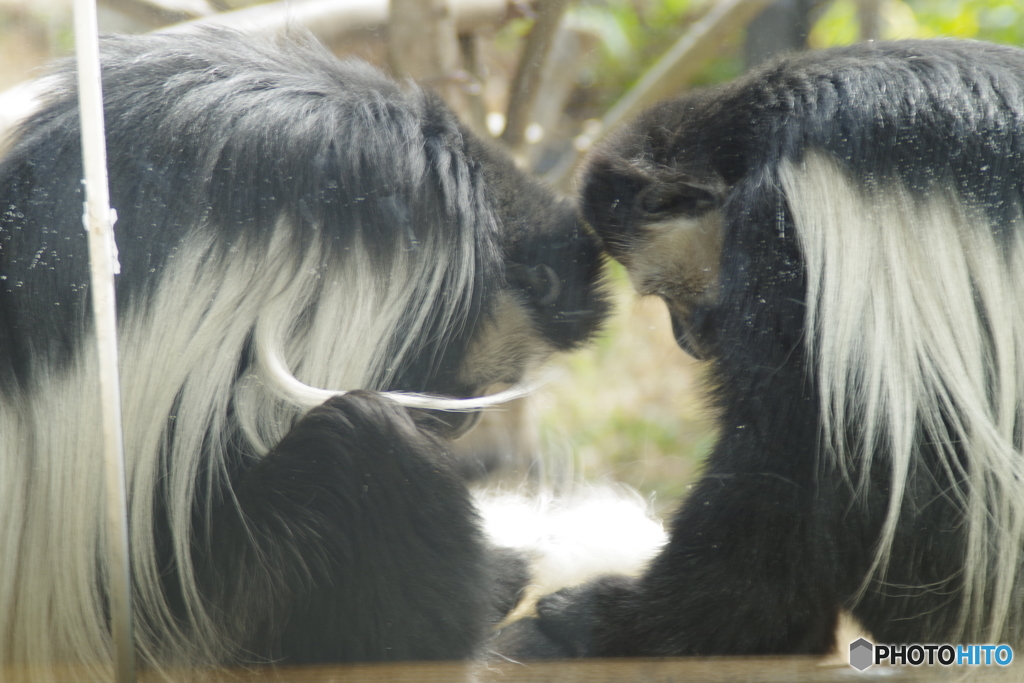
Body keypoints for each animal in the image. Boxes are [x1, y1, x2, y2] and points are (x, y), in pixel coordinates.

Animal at [507, 40, 1024, 659]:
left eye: (664, 291)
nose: (689, 341)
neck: (750, 141)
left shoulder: (784, 235)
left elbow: (789, 461)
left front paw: (619, 623)